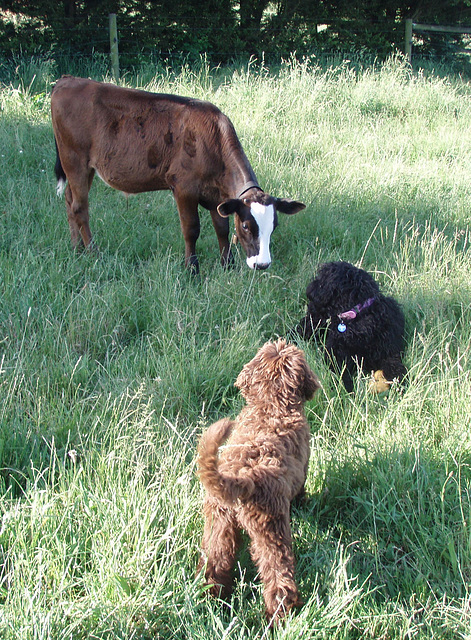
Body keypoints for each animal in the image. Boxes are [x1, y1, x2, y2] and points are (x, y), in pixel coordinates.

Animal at [51, 76, 306, 272]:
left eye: (274, 225)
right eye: (245, 226)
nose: (262, 265)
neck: (212, 141)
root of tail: (68, 80)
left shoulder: (217, 196)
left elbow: (221, 228)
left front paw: (227, 265)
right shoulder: (184, 188)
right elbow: (191, 229)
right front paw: (192, 269)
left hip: (86, 167)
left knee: (69, 201)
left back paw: (76, 248)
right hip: (74, 160)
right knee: (80, 207)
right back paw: (93, 252)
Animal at [195, 340, 320, 624]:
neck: (271, 403)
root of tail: (242, 477)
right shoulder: (304, 464)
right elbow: (301, 488)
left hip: (219, 521)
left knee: (215, 563)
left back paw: (213, 599)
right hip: (271, 528)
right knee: (278, 577)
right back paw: (282, 616)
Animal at [296, 262, 408, 392]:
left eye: (320, 279)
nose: (309, 289)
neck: (360, 313)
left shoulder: (389, 353)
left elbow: (395, 367)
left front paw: (400, 383)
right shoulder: (337, 356)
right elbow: (340, 374)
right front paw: (346, 391)